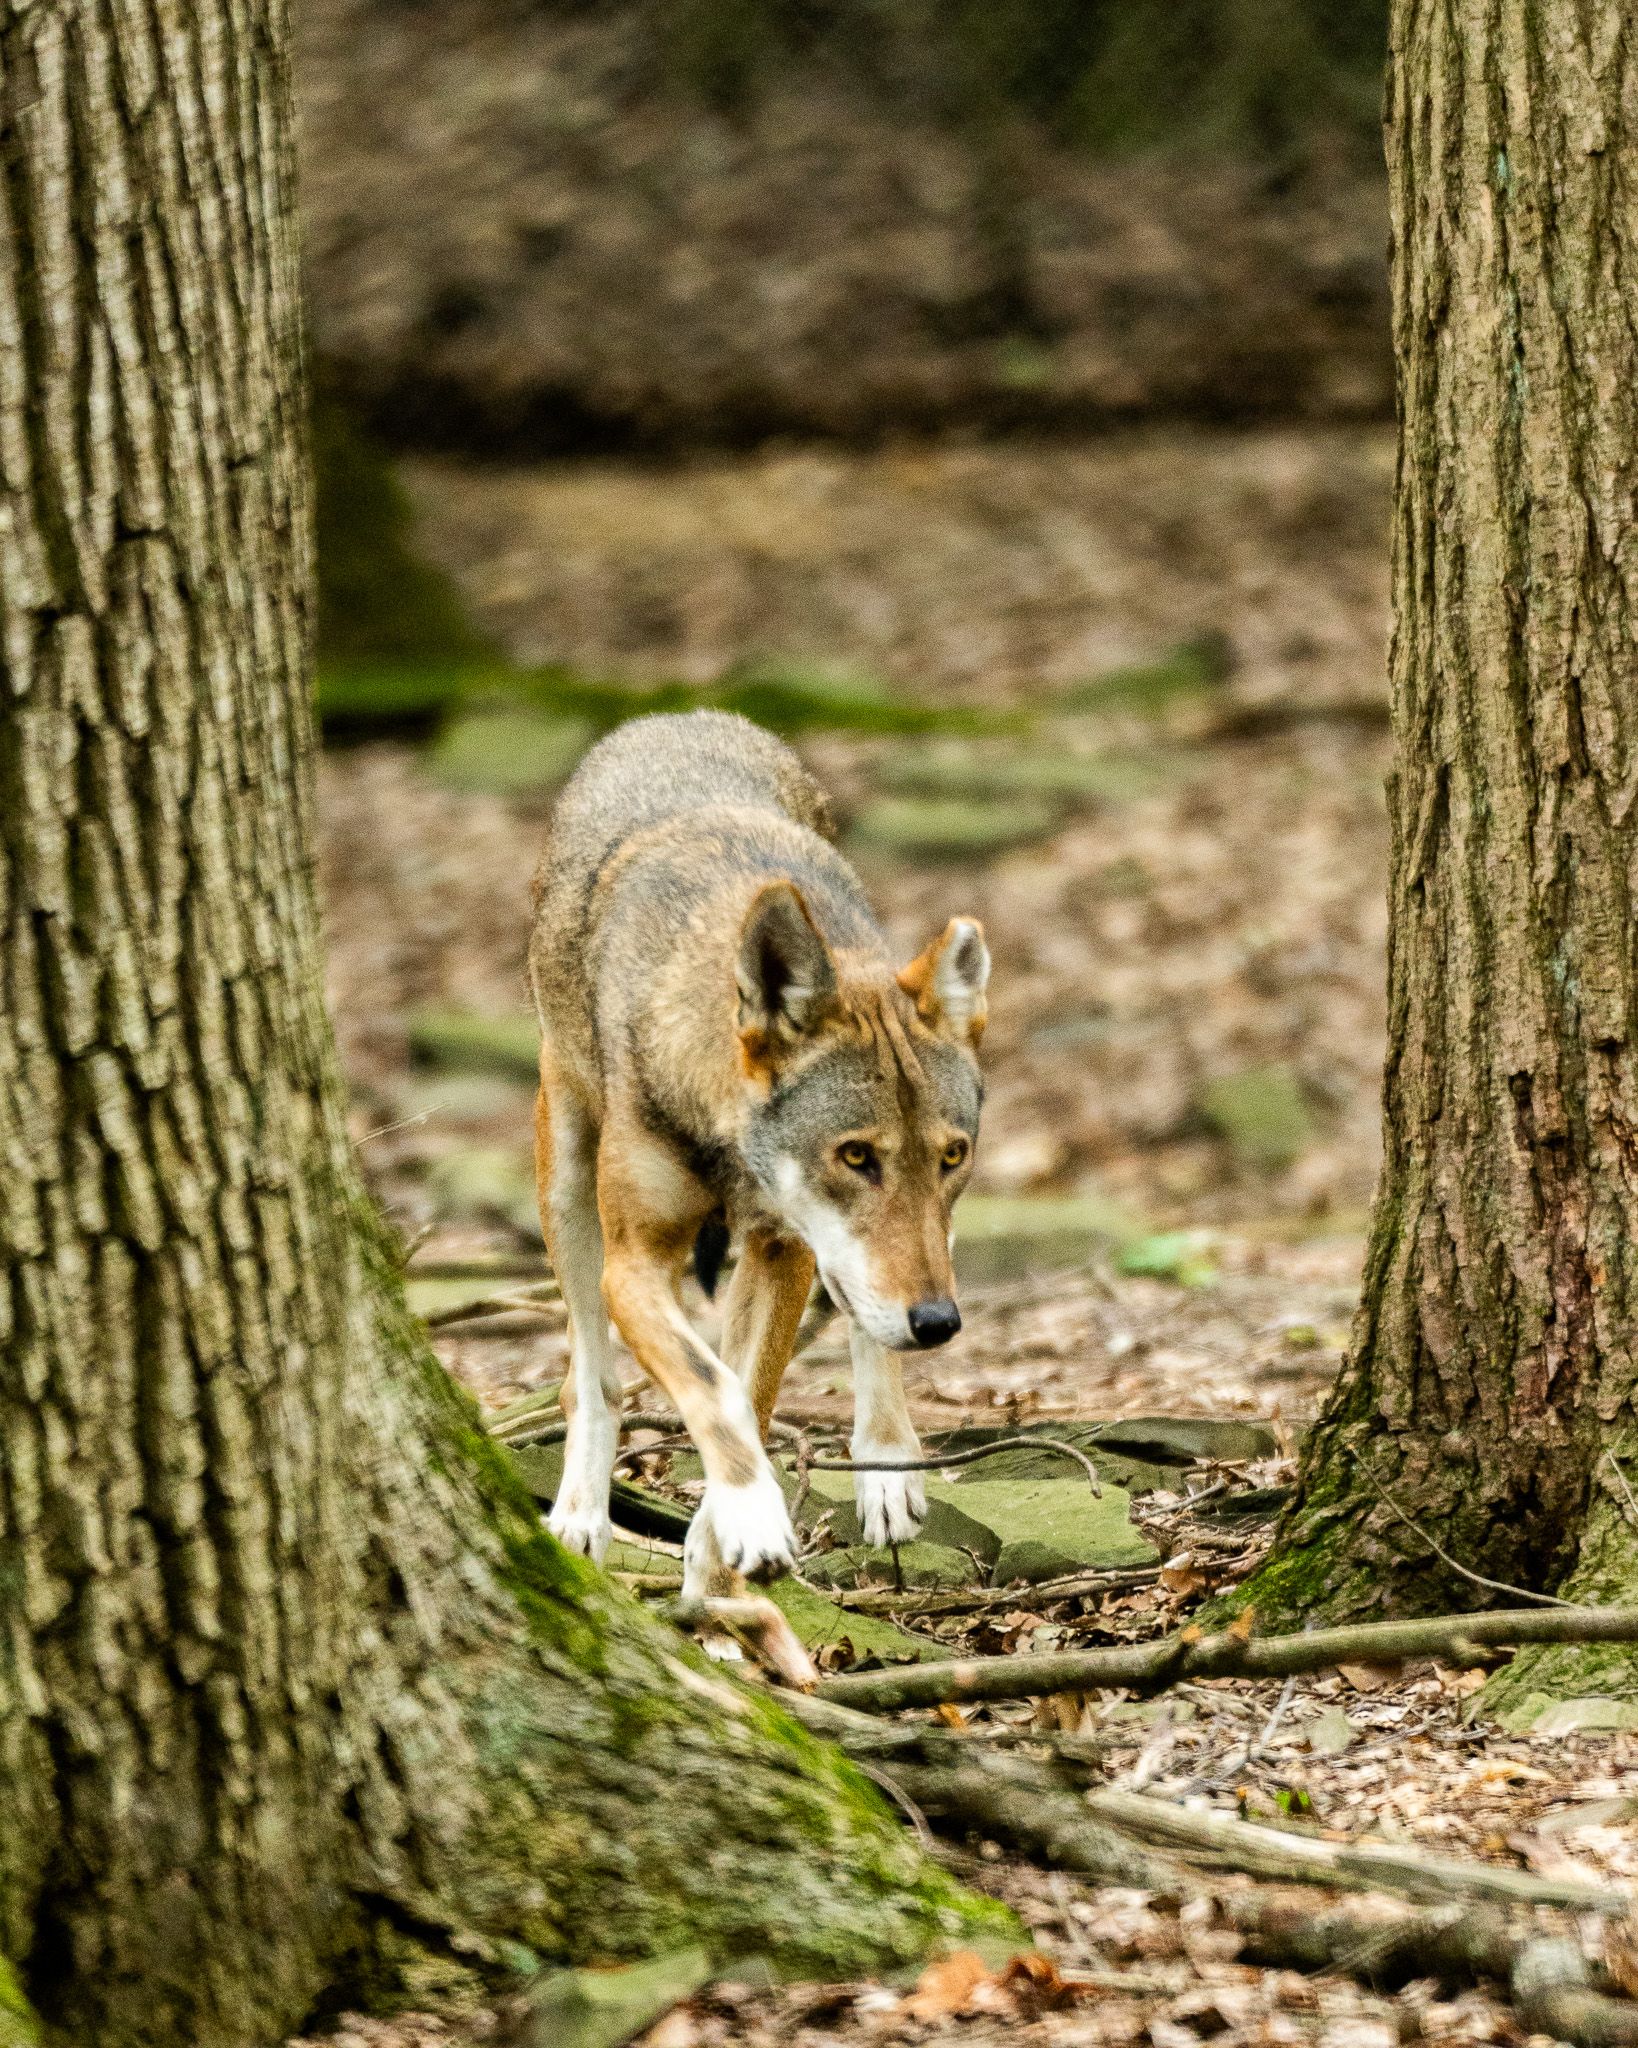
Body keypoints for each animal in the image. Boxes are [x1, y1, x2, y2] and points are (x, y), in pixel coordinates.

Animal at [528, 710, 989, 1599]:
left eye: (951, 1156)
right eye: (856, 1156)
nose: (941, 1325)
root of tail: (677, 715)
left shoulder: (784, 1250)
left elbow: (752, 1390)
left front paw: (719, 1569)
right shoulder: (633, 1264)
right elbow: (715, 1390)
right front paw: (747, 1517)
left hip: (851, 1258)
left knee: (864, 1318)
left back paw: (887, 1466)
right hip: (565, 1177)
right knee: (590, 1379)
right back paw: (578, 1516)